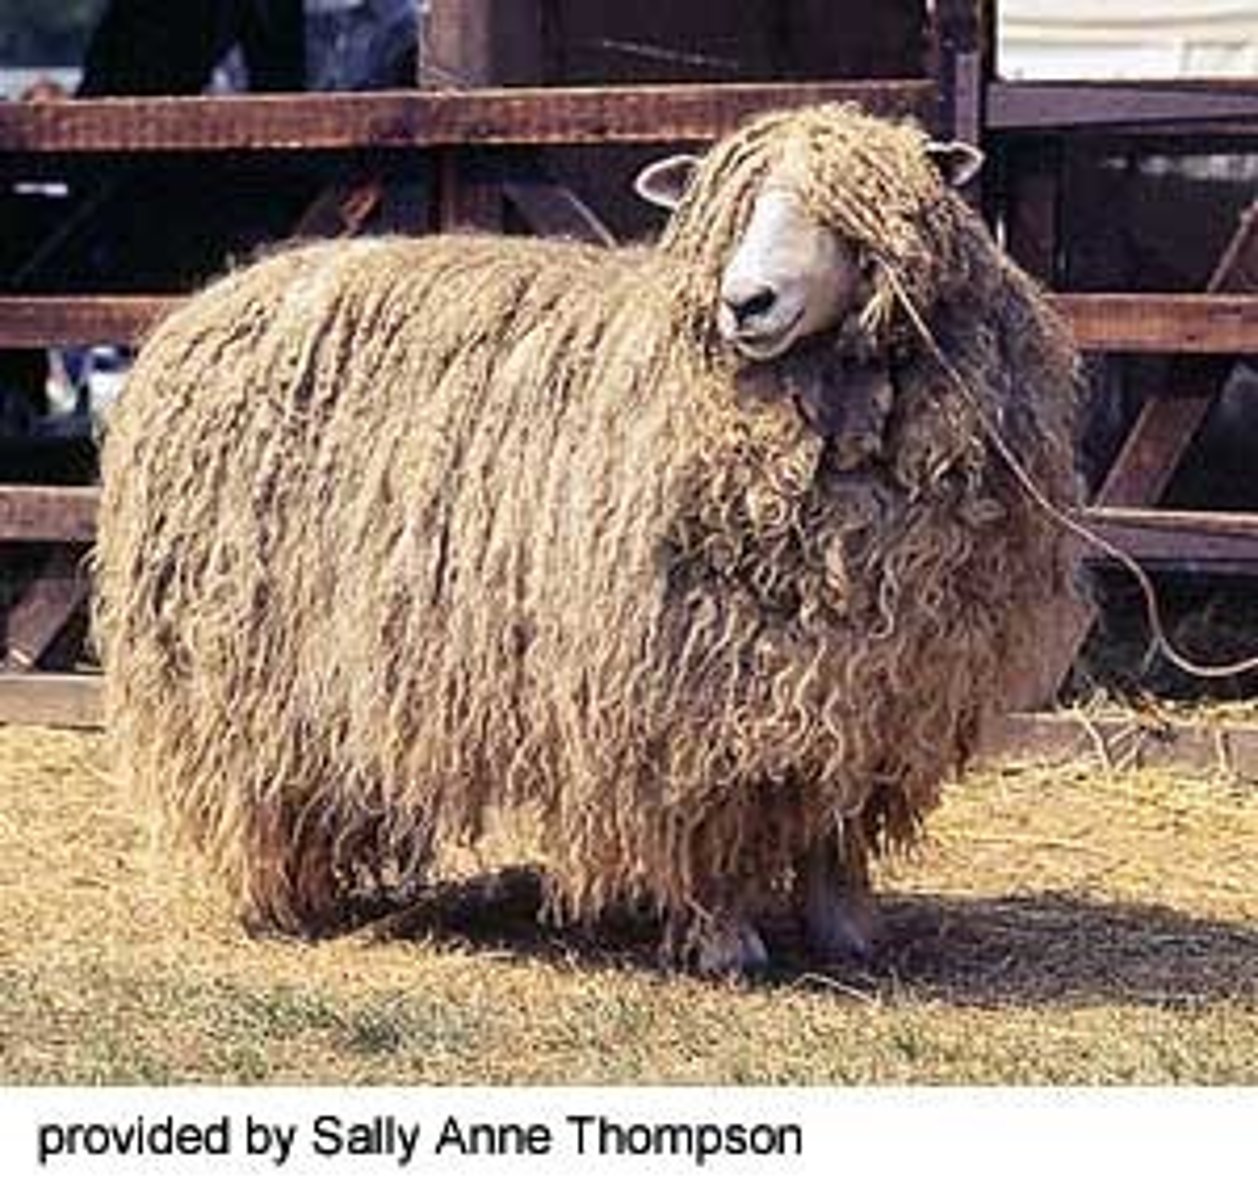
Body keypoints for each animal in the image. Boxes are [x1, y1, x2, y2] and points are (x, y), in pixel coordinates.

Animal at [93, 103, 1082, 975]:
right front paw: (721, 939)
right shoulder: (680, 689)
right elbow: (701, 814)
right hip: (235, 661)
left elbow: (833, 818)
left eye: (844, 213)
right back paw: (284, 902)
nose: (746, 302)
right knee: (255, 780)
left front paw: (846, 932)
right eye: (730, 210)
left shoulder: (880, 680)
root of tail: (208, 301)